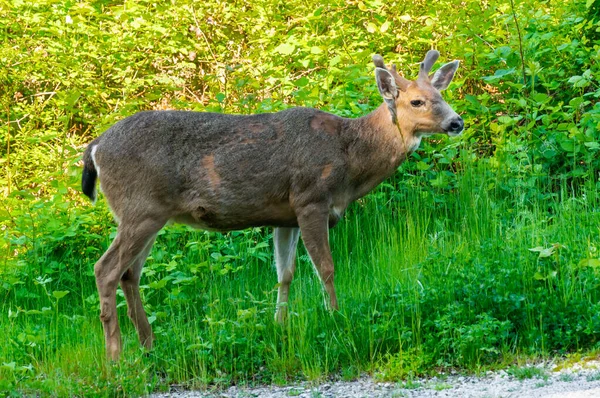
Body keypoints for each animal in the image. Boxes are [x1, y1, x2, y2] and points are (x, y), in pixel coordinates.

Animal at [81, 50, 464, 360]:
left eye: (440, 95)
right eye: (416, 102)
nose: (456, 122)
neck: (350, 157)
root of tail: (95, 147)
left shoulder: (286, 216)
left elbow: (285, 273)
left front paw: (279, 327)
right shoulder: (311, 199)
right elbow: (326, 268)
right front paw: (335, 318)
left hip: (150, 215)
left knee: (129, 273)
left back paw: (149, 346)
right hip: (140, 208)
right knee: (105, 269)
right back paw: (115, 357)